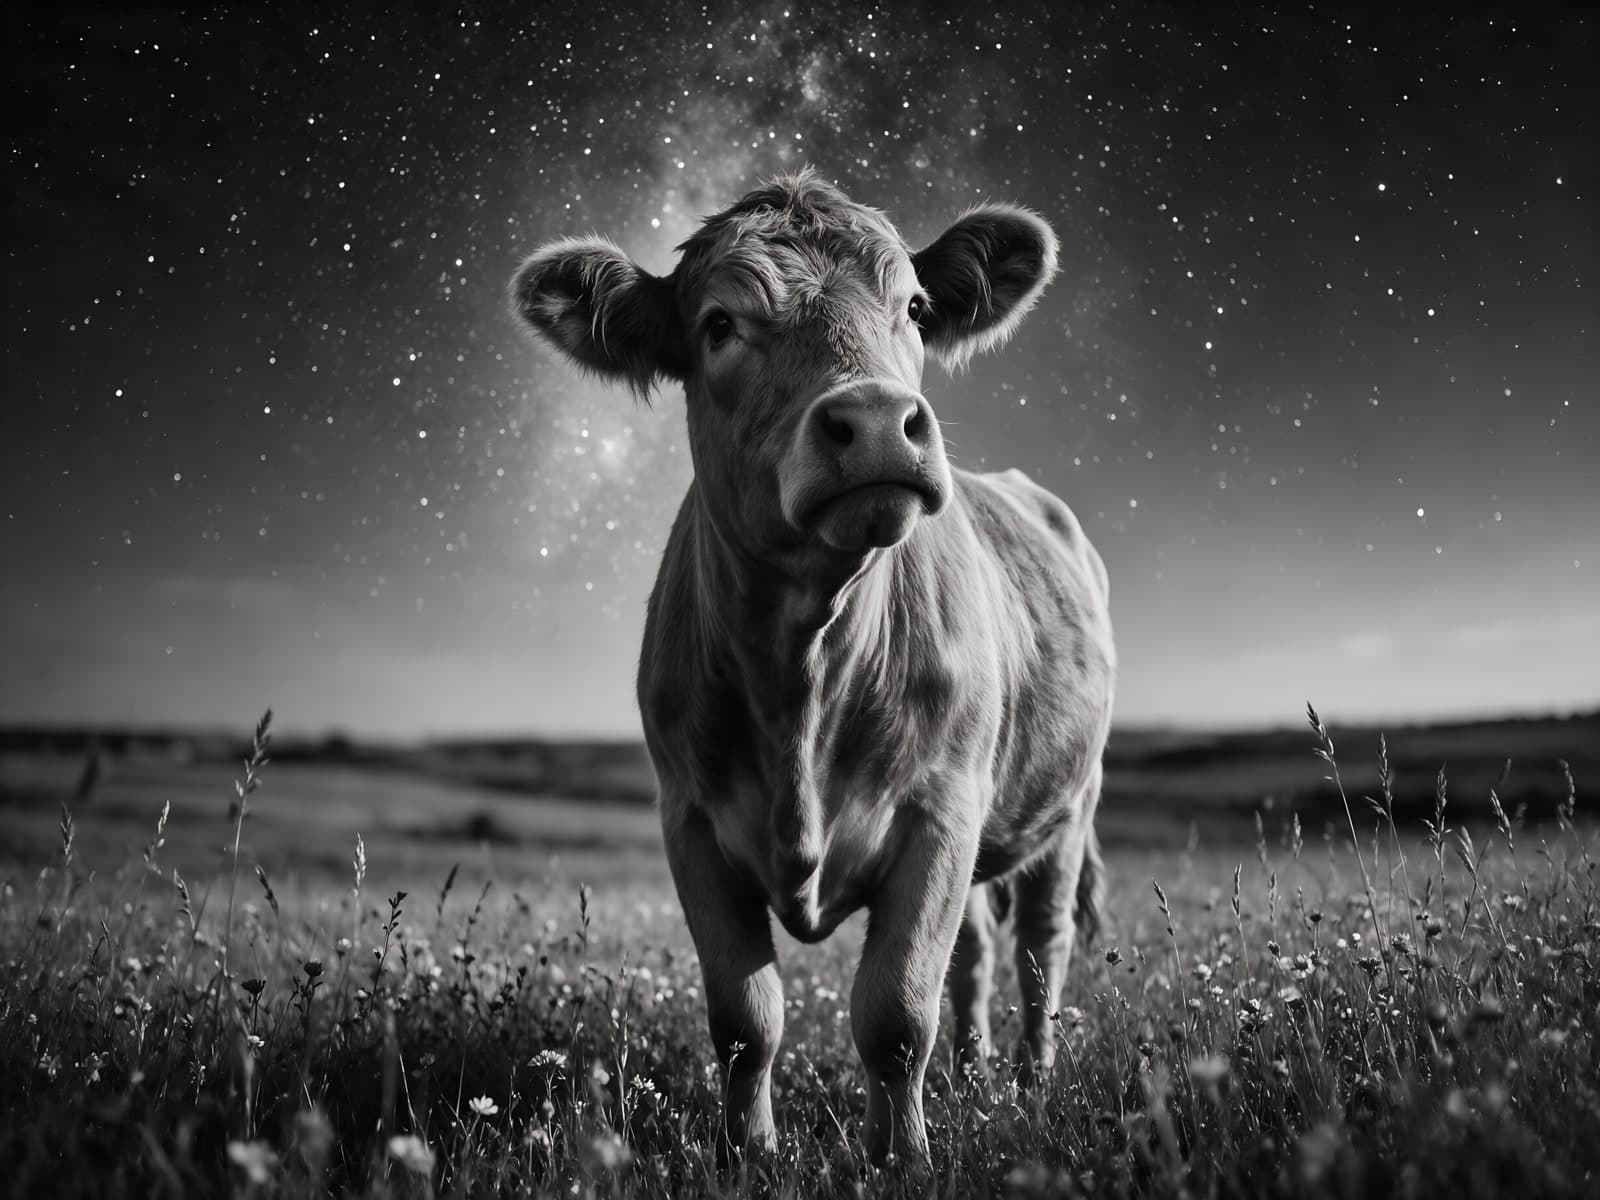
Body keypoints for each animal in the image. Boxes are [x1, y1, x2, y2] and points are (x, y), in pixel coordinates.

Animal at [509, 167, 1115, 1166]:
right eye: (719, 323)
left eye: (914, 307)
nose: (876, 423)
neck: (802, 669)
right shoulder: (689, 819)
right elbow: (745, 1015)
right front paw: (746, 1150)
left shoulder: (940, 810)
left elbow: (896, 1011)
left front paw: (900, 1157)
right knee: (979, 954)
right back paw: (975, 1076)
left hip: (1068, 805)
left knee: (1041, 945)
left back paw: (1030, 1083)